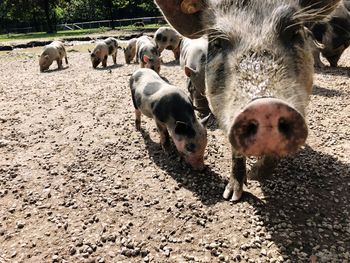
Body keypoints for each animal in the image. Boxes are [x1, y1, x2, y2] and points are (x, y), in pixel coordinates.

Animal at [154, 0, 340, 201]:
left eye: (294, 32)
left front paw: (253, 175)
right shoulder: (224, 113)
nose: (265, 106)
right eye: (217, 42)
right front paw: (231, 196)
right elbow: (236, 153)